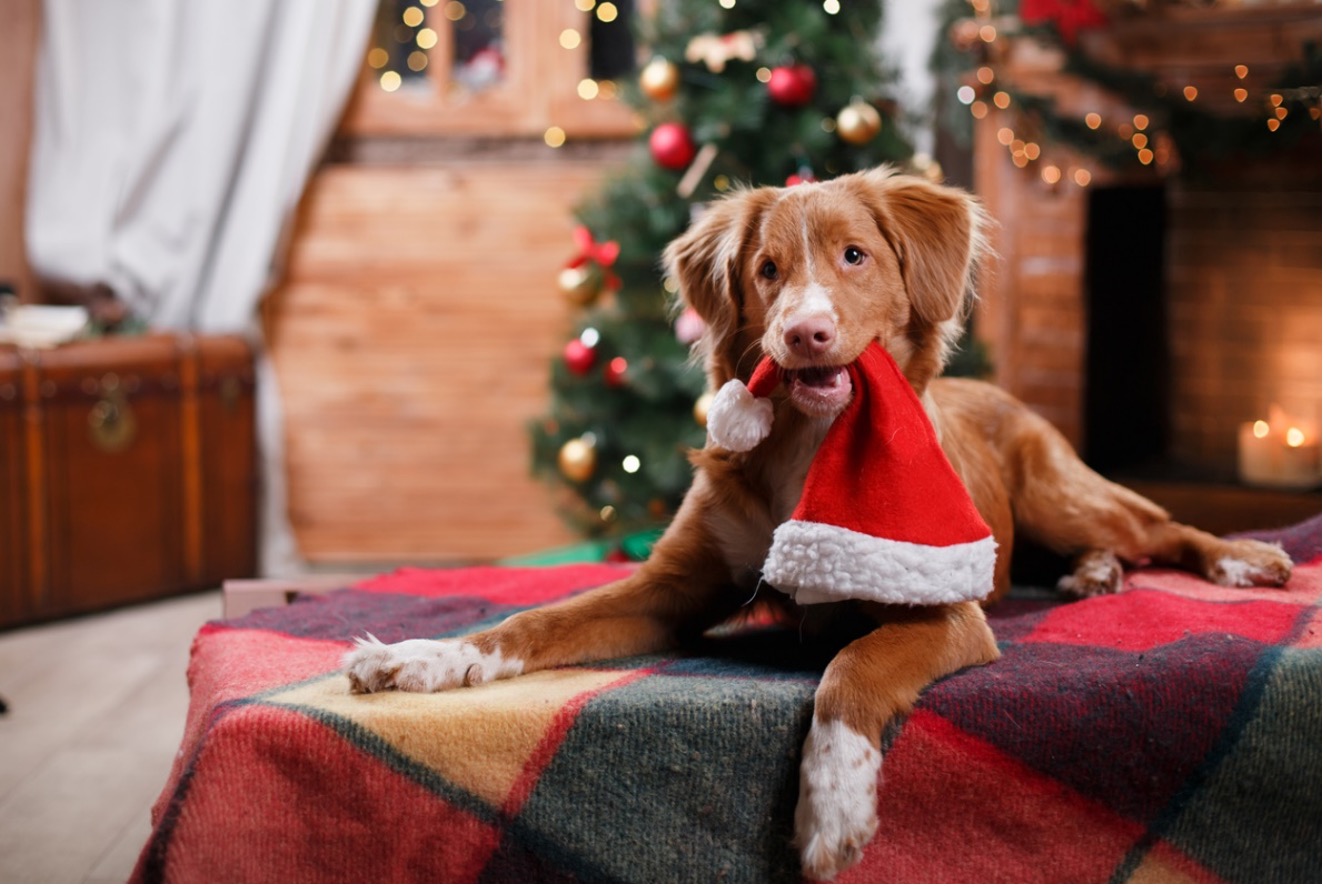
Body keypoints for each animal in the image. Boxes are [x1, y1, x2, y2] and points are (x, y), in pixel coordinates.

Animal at [344, 163, 1294, 881]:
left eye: (855, 256)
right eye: (766, 269)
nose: (804, 333)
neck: (808, 447)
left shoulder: (945, 610)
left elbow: (849, 669)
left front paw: (834, 803)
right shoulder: (669, 588)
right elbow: (532, 620)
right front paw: (423, 658)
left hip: (1062, 492)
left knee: (1160, 528)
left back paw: (1238, 559)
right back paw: (1091, 572)